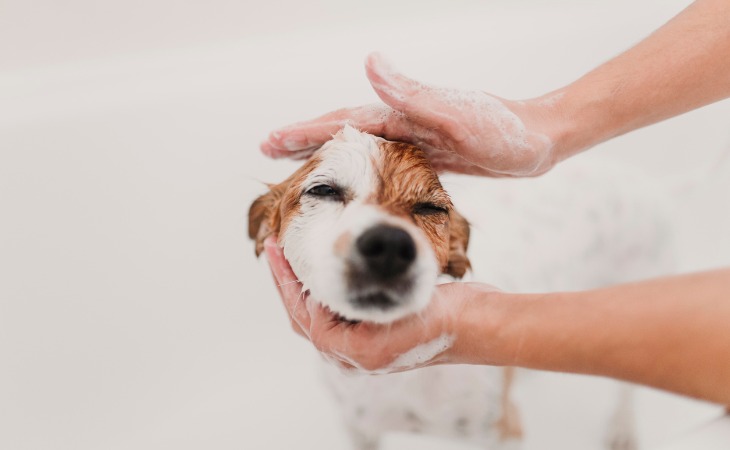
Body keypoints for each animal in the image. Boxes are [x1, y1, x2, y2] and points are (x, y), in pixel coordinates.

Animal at [246, 125, 672, 448]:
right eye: (324, 190)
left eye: (431, 208)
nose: (389, 246)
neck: (399, 383)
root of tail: (645, 182)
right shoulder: (359, 429)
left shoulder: (503, 431)